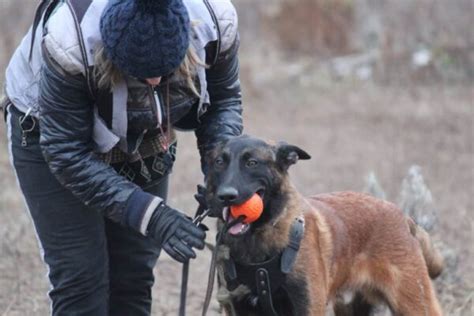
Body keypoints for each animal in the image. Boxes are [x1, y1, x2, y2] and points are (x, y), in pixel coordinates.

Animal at [205, 135, 444, 316]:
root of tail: (404, 217)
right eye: (219, 162)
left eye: (252, 163)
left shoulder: (308, 307)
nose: (225, 196)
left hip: (413, 304)